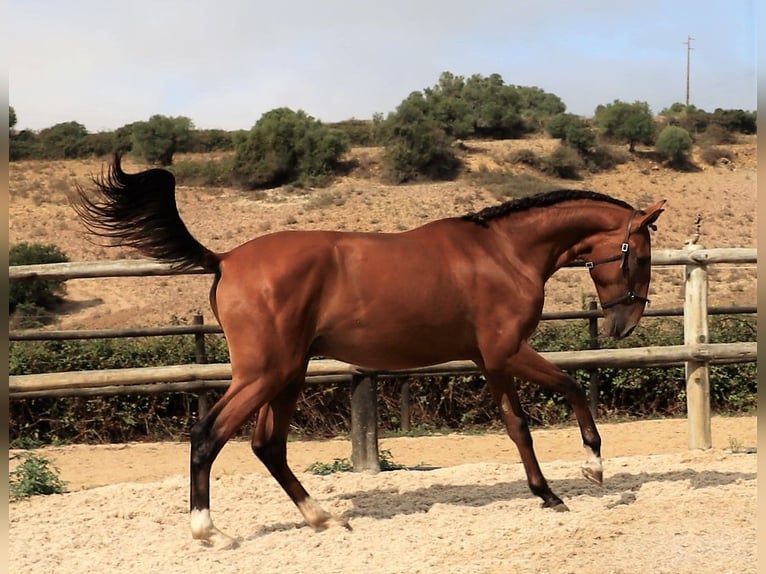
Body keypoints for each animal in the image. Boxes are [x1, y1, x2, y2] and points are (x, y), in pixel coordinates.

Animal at [70, 154, 664, 548]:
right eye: (638, 256)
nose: (624, 324)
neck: (505, 252)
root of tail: (225, 259)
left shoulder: (489, 359)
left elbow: (517, 426)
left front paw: (547, 494)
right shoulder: (509, 351)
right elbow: (569, 387)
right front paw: (592, 470)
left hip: (288, 373)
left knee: (268, 445)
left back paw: (323, 518)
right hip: (264, 373)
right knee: (208, 435)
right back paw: (210, 531)